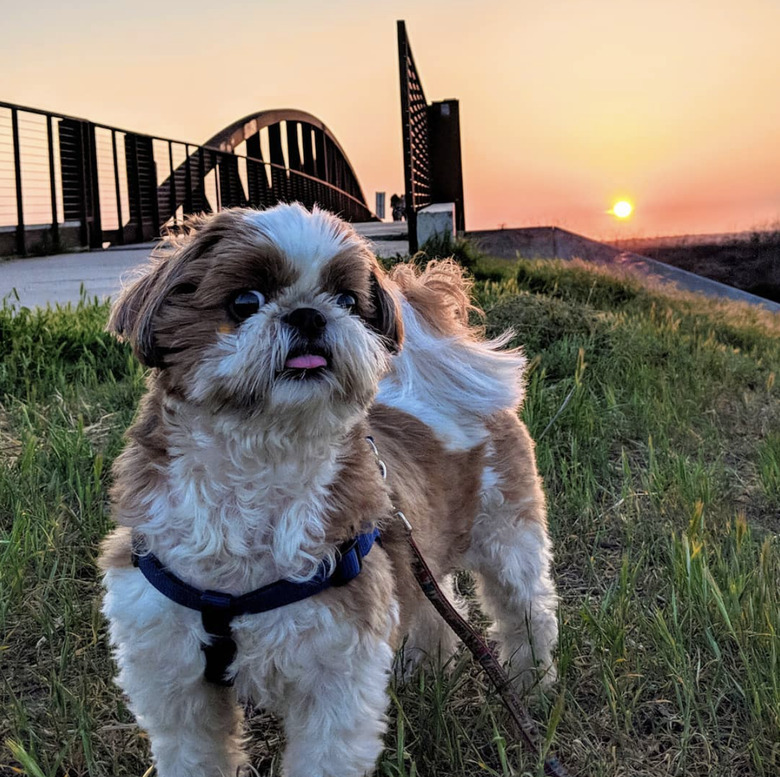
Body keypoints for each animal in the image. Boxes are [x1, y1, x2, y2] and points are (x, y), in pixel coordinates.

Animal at [100, 205, 556, 776]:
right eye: (244, 302)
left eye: (348, 302)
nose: (309, 316)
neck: (255, 475)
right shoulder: (172, 672)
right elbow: (193, 750)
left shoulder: (336, 674)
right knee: (439, 603)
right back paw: (426, 668)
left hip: (508, 537)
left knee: (526, 609)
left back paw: (532, 684)